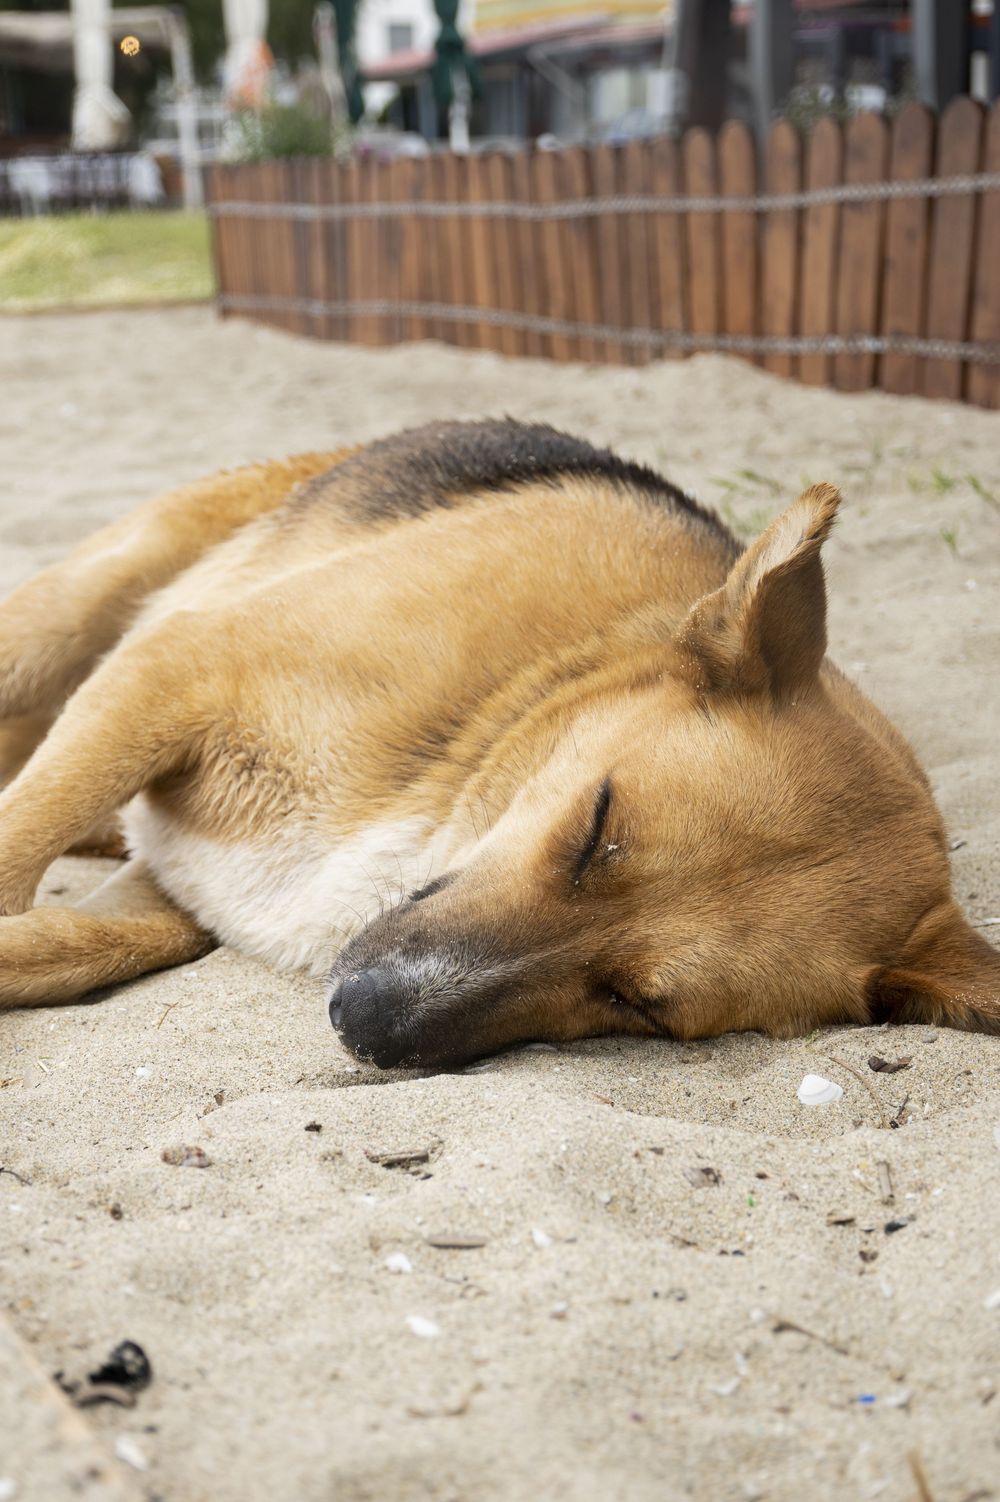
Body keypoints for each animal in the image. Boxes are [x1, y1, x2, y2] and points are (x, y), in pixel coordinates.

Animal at [0, 419, 997, 1068]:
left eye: (638, 1005)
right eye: (596, 827)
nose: (359, 1019)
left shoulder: (172, 891)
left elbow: (65, 940)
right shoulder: (173, 672)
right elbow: (17, 853)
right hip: (67, 619)